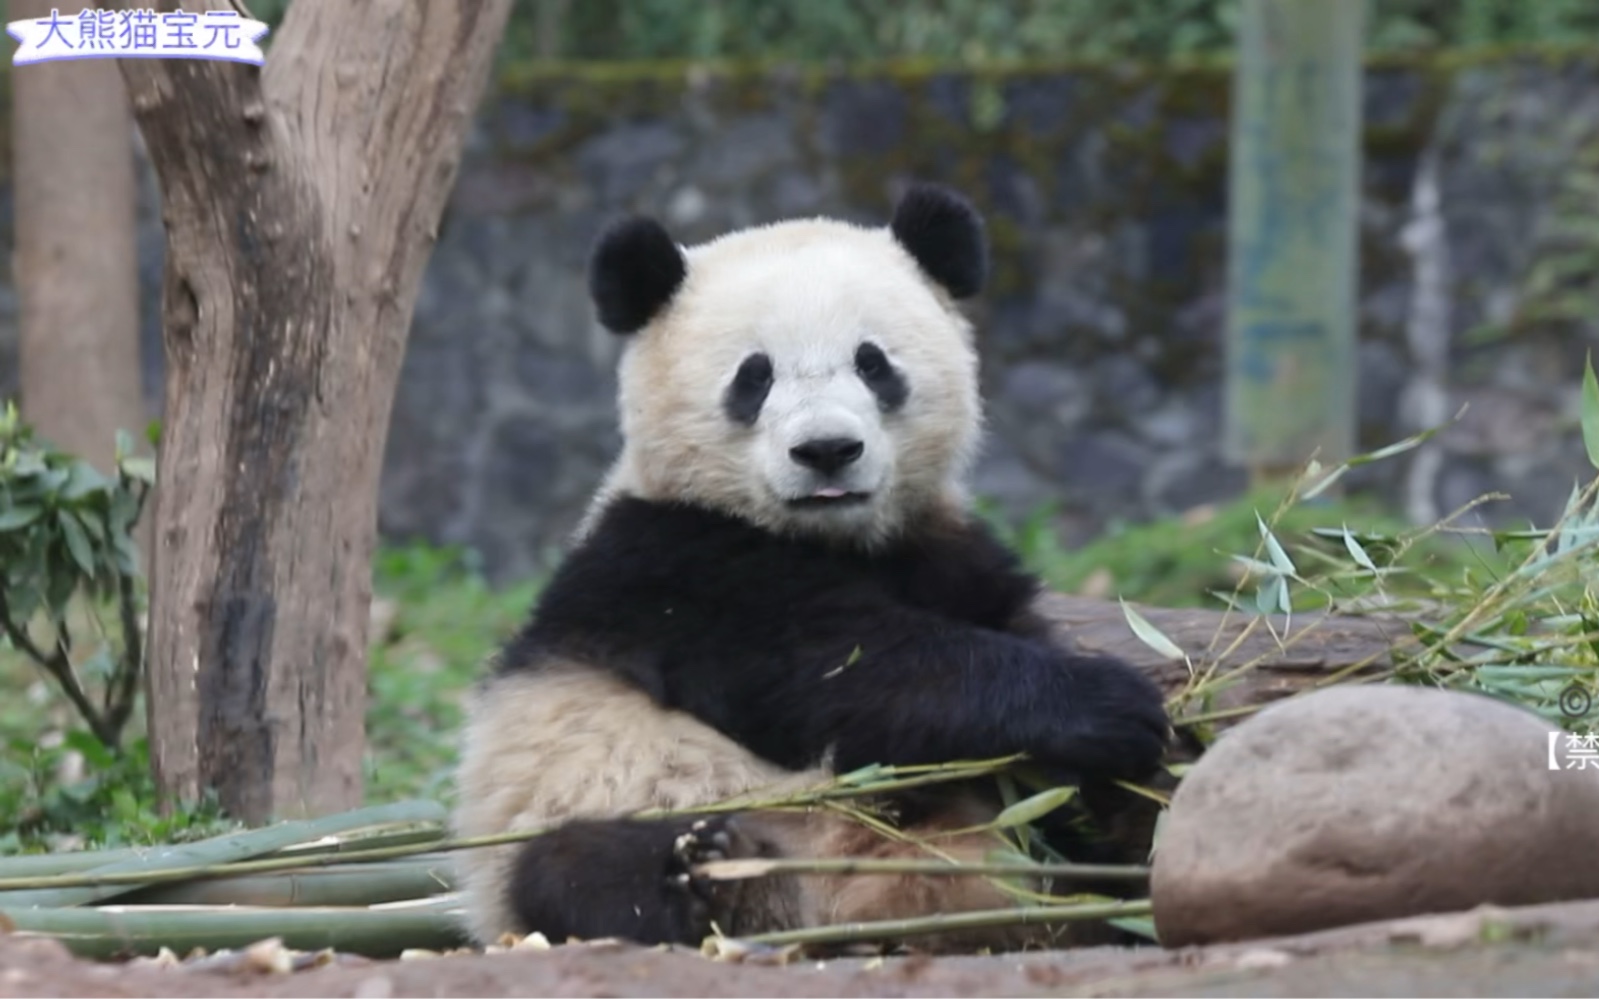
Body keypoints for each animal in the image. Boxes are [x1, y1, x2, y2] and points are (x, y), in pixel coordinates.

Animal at [450, 183, 1176, 952]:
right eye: (754, 375)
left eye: (872, 362)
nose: (827, 450)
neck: (831, 537)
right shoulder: (670, 566)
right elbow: (847, 672)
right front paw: (1109, 702)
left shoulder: (942, 548)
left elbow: (1001, 645)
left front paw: (1136, 762)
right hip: (571, 815)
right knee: (576, 869)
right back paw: (704, 872)